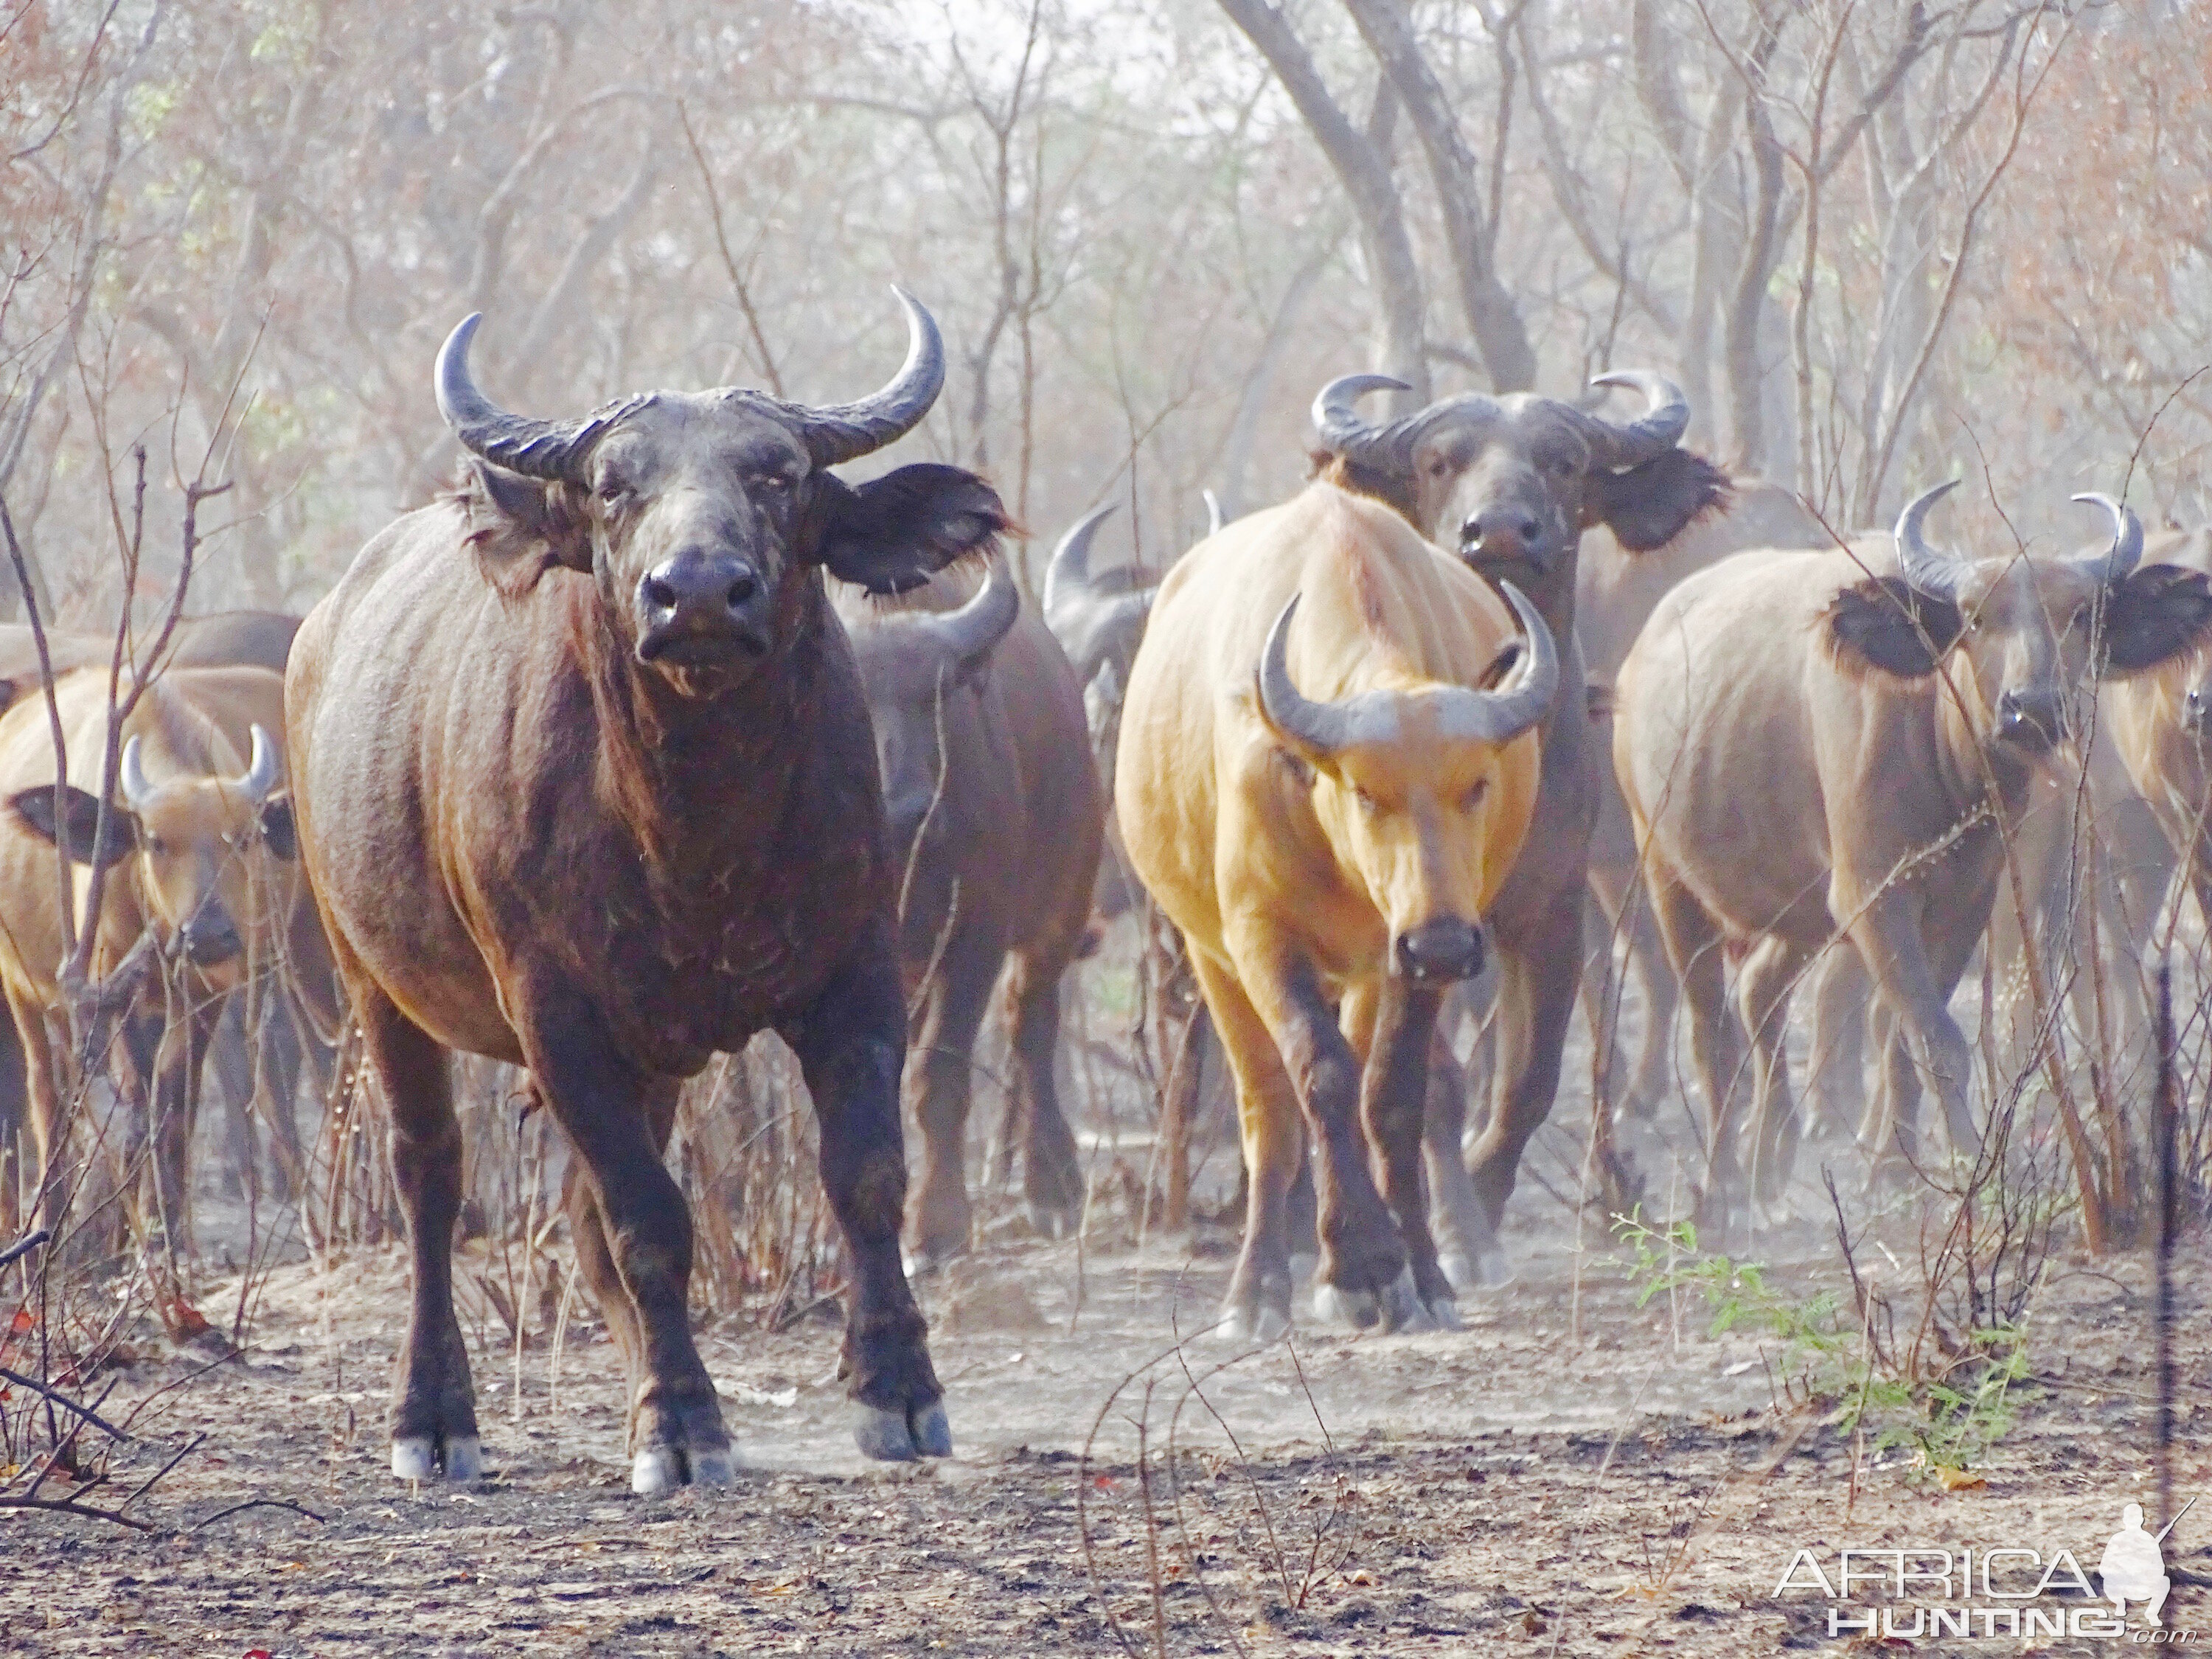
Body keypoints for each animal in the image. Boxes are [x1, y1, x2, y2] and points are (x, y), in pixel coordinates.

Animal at [288, 290, 995, 1495]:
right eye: (615, 485)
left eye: (778, 473)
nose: (698, 591)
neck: (697, 828)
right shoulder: (557, 1014)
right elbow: (648, 1222)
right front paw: (682, 1425)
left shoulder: (857, 969)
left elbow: (864, 1174)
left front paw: (899, 1393)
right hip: (371, 979)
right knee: (431, 1178)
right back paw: (435, 1417)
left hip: (649, 1053)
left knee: (577, 1213)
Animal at [832, 553, 1106, 1265]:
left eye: (936, 696)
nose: (905, 808)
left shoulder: (975, 935)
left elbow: (940, 1074)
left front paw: (935, 1225)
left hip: (1062, 905)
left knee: (1031, 1026)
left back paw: (1052, 1186)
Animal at [1115, 478, 1548, 1336]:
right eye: (1364, 791)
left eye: (1478, 784)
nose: (1443, 946)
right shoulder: (1261, 940)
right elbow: (1317, 1080)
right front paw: (1358, 1266)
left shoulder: (1399, 956)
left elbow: (1393, 1097)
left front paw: (1419, 1276)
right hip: (1210, 955)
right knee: (1268, 1111)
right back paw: (1260, 1284)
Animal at [1301, 374, 1734, 1283]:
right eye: (1439, 463)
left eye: (1563, 462)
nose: (1498, 530)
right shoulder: (1419, 927)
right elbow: (1434, 1085)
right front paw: (1458, 1228)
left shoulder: (1553, 910)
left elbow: (1528, 1080)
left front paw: (1487, 1195)